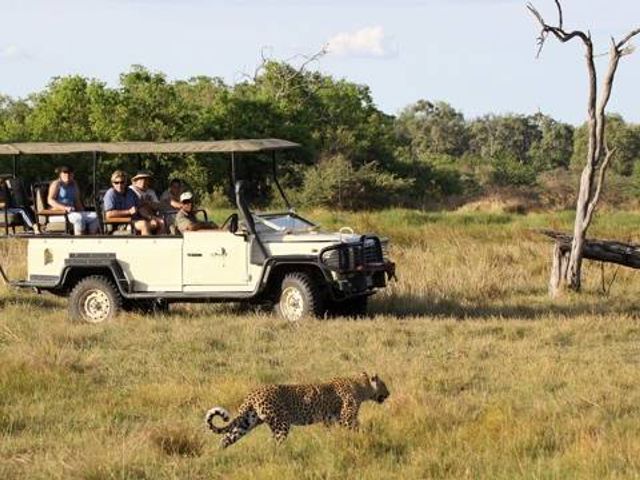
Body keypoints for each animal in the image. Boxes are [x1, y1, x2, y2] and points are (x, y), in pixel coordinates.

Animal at [205, 374, 388, 448]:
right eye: (384, 385)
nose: (389, 393)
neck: (361, 386)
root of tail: (253, 393)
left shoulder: (329, 420)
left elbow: (331, 433)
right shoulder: (347, 418)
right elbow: (359, 429)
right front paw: (370, 438)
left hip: (247, 422)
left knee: (225, 439)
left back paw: (217, 457)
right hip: (281, 424)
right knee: (275, 444)